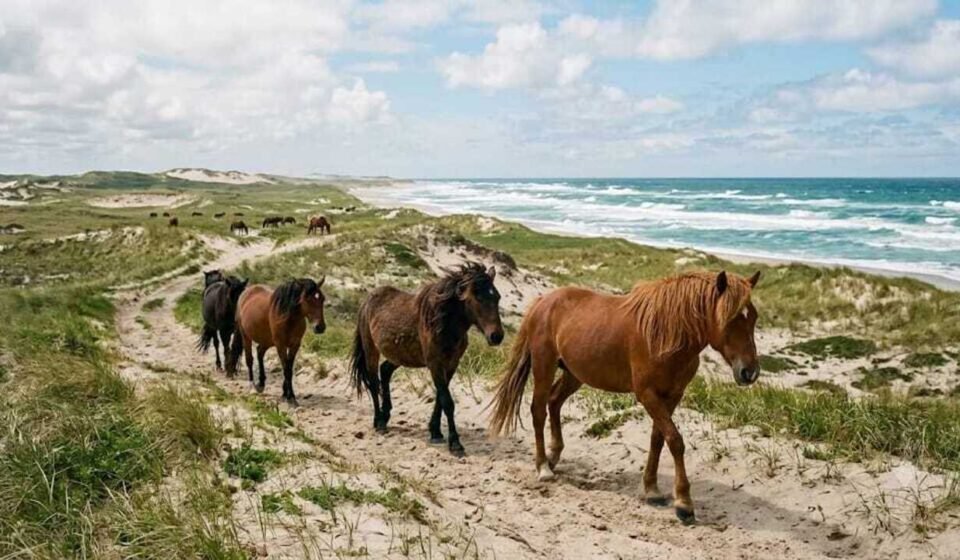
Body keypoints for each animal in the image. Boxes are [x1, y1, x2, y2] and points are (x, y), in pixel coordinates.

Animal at [228, 277, 327, 405]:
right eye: (308, 299)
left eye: (322, 298)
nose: (320, 327)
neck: (288, 318)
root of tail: (246, 292)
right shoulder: (281, 345)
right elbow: (286, 369)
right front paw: (290, 397)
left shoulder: (295, 345)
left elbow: (288, 368)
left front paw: (286, 394)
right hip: (246, 336)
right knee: (249, 359)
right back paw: (252, 386)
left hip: (267, 340)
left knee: (259, 352)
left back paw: (261, 384)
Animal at [350, 263, 504, 456]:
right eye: (477, 297)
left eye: (497, 297)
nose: (496, 336)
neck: (443, 322)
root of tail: (367, 301)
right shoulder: (435, 364)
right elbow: (447, 401)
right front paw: (455, 443)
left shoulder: (451, 364)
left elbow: (440, 398)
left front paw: (435, 432)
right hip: (371, 350)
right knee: (373, 382)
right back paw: (379, 422)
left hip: (400, 355)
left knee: (384, 371)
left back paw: (385, 416)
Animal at [488, 270, 761, 524]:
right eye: (731, 319)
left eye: (754, 317)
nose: (749, 372)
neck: (666, 333)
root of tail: (543, 301)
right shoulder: (647, 394)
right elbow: (675, 441)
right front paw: (684, 503)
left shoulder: (672, 396)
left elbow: (658, 439)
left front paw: (652, 489)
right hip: (544, 366)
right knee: (538, 411)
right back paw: (543, 466)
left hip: (575, 374)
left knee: (554, 402)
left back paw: (553, 456)